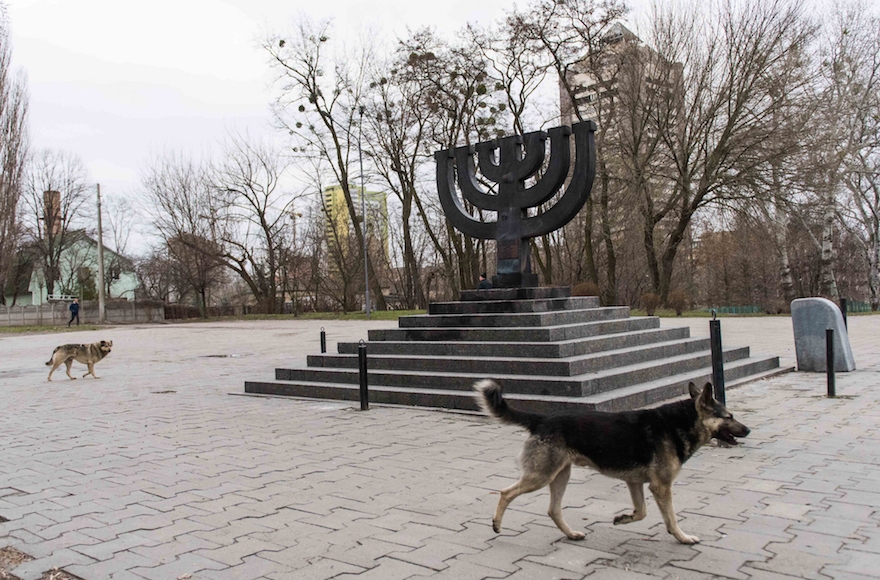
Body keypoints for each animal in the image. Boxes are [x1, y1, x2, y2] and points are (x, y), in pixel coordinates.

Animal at [474, 378, 748, 548]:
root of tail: (542, 419)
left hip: (560, 475)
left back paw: (571, 534)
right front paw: (682, 538)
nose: (749, 430)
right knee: (506, 493)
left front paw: (623, 518)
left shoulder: (636, 483)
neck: (679, 422)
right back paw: (496, 524)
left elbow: (641, 512)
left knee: (553, 510)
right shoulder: (661, 487)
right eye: (729, 416)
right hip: (540, 477)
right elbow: (671, 518)